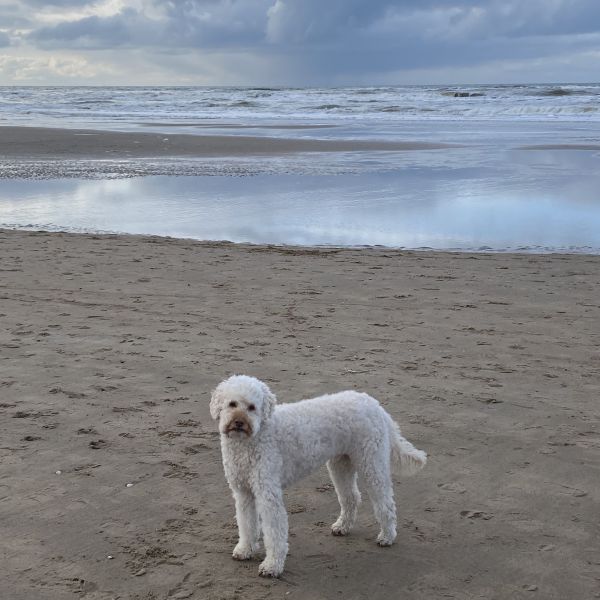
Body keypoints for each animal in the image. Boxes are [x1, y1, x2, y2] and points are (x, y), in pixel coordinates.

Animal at [211, 376, 426, 576]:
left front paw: (272, 566)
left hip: (371, 463)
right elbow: (246, 524)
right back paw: (342, 527)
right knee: (351, 497)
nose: (239, 422)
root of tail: (377, 406)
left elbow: (273, 532)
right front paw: (245, 550)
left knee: (385, 503)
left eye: (252, 407)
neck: (251, 439)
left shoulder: (268, 494)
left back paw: (387, 536)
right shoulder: (243, 492)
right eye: (232, 404)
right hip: (341, 464)